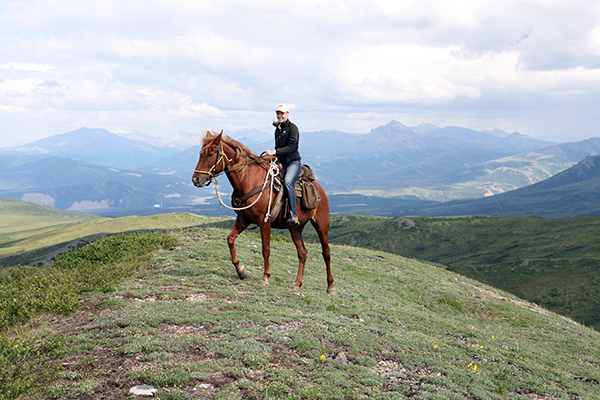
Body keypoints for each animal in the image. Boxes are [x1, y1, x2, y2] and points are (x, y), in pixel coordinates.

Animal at [192, 131, 336, 294]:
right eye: (200, 154)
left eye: (210, 154)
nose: (196, 179)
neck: (249, 180)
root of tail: (320, 189)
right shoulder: (244, 219)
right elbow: (230, 239)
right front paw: (241, 270)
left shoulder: (264, 221)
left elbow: (265, 249)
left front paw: (265, 277)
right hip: (295, 228)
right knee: (302, 253)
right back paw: (297, 283)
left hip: (321, 225)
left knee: (326, 253)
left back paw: (330, 286)